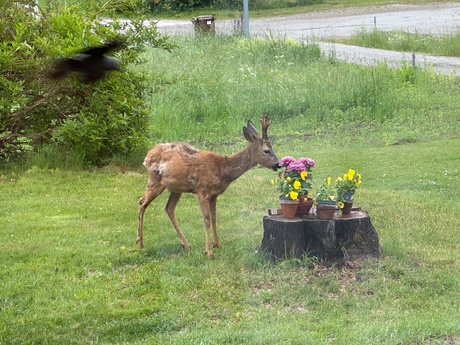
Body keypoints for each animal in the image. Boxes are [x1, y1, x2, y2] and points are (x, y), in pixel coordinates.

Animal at [138, 113, 278, 255]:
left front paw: (217, 245)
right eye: (266, 150)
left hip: (176, 188)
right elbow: (206, 219)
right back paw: (140, 243)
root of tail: (147, 155)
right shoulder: (202, 190)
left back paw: (186, 244)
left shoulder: (214, 194)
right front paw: (209, 251)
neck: (223, 169)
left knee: (168, 208)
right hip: (155, 180)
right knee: (142, 202)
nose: (278, 164)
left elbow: (214, 217)